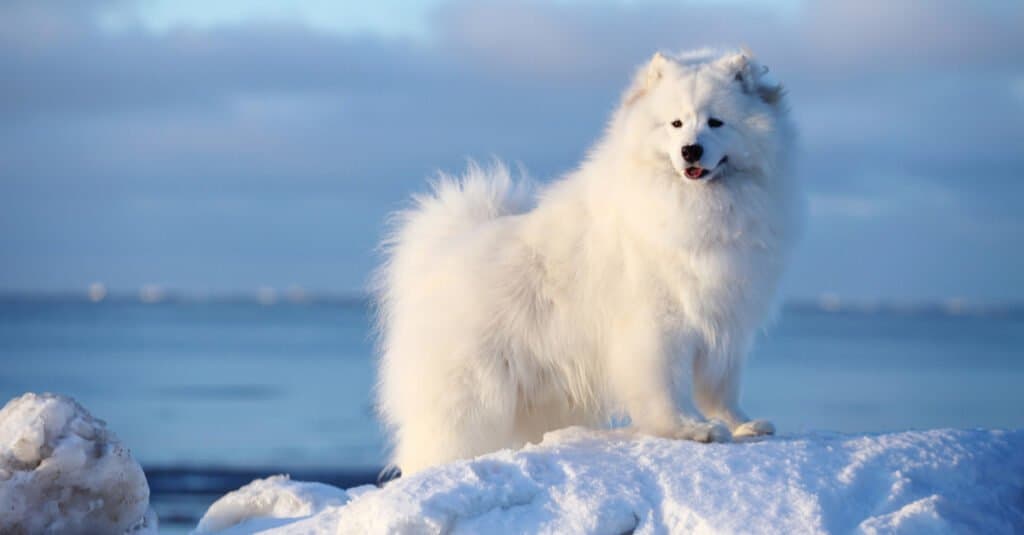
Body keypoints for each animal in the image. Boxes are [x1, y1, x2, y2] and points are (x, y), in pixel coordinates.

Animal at [374, 48, 798, 471]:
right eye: (675, 124)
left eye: (716, 122)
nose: (690, 149)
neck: (700, 206)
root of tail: (445, 249)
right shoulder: (660, 326)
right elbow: (667, 386)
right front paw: (690, 429)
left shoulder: (726, 323)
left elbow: (721, 388)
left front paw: (742, 424)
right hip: (471, 399)